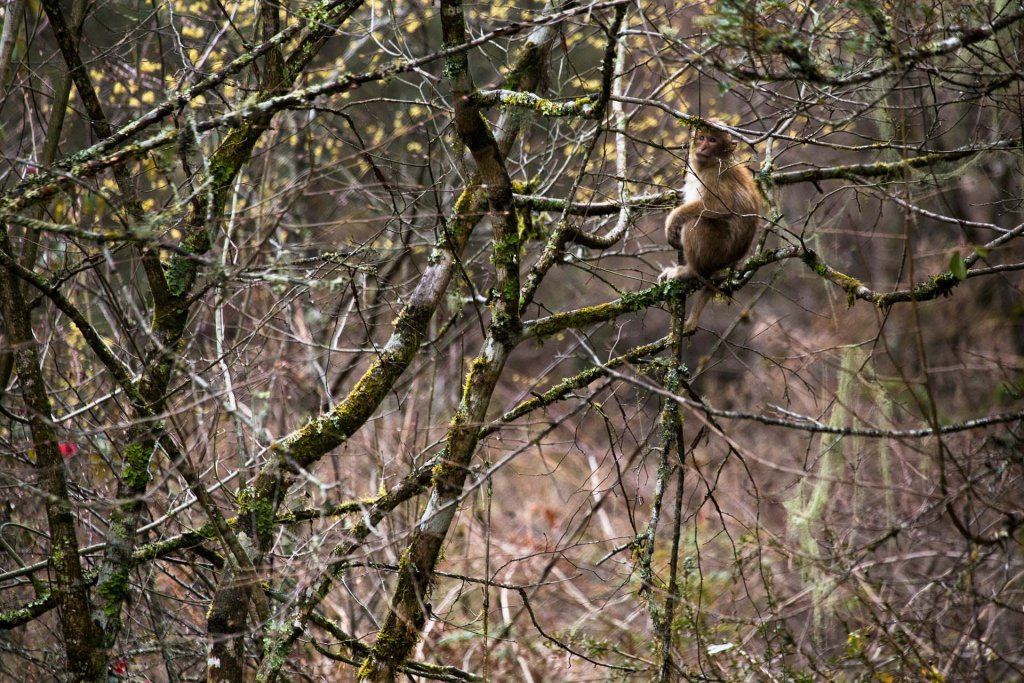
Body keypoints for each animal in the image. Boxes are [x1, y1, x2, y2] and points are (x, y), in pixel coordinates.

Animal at [659, 123, 757, 335]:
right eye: (702, 137)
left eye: (712, 140)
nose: (702, 147)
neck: (711, 163)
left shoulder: (715, 176)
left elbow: (717, 207)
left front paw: (672, 220)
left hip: (716, 250)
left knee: (697, 222)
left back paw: (690, 271)